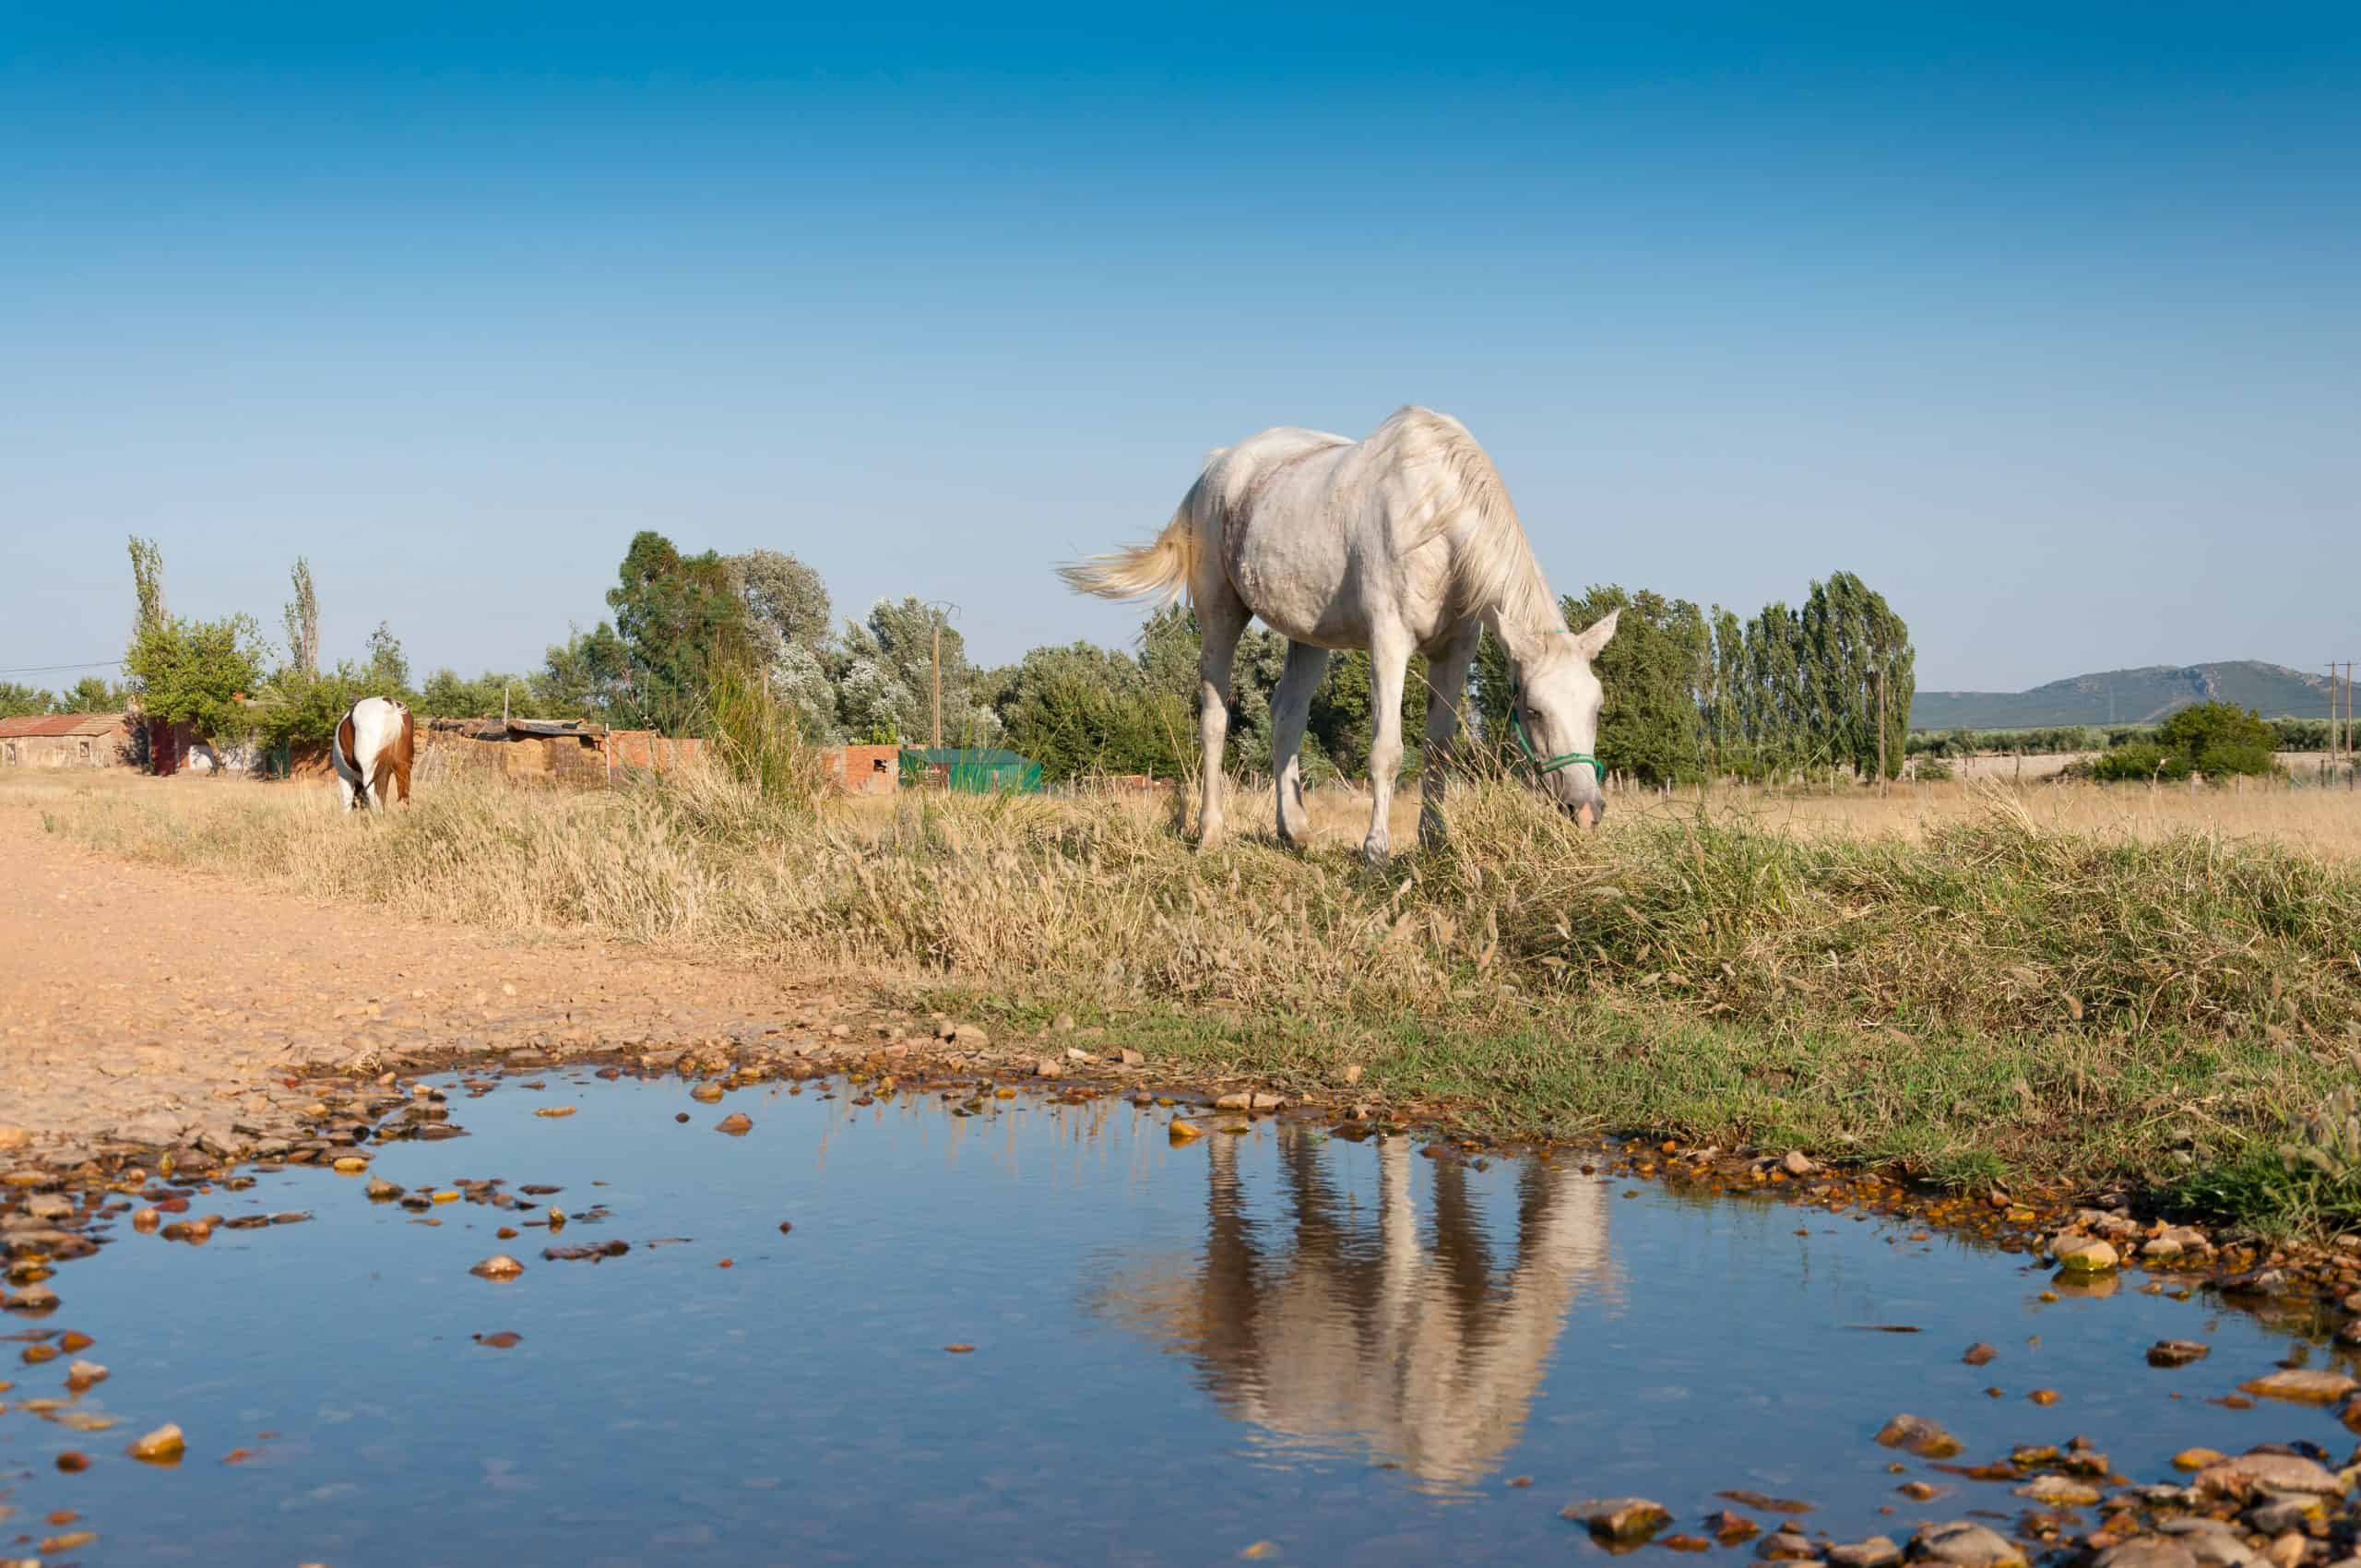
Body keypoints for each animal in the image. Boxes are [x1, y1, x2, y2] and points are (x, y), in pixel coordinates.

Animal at [332, 698, 415, 821]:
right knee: (403, 799)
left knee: (377, 802)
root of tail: (392, 707)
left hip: (371, 774)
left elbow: (347, 803)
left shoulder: (344, 775)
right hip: (403, 768)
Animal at [1062, 403, 1615, 859]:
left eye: (1596, 707)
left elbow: (1439, 748)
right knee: (1215, 719)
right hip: (1221, 616)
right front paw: (1376, 854)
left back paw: (1295, 831)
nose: (1588, 810)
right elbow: (1388, 752)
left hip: (1307, 637)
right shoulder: (1389, 642)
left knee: (1286, 715)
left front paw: (1434, 843)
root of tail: (1215, 469)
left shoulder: (1455, 651)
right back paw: (1210, 833)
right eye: (1534, 710)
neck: (1434, 516)